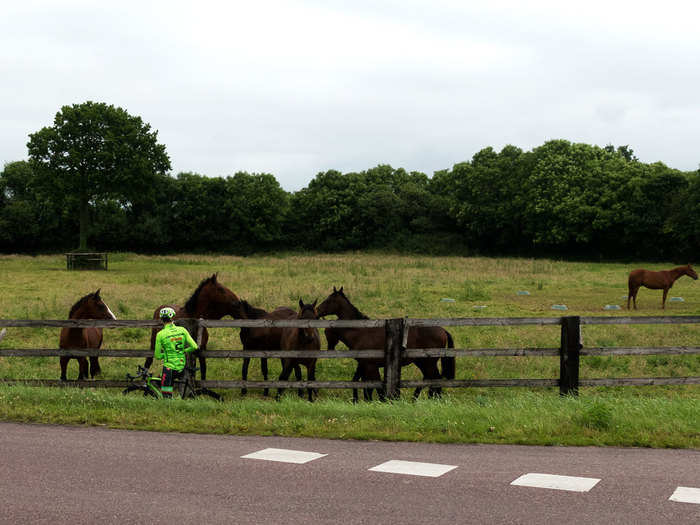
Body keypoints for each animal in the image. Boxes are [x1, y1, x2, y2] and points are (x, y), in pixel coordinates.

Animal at [316, 286, 456, 402]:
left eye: (328, 300)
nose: (317, 311)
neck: (361, 331)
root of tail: (442, 330)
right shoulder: (363, 365)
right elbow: (360, 383)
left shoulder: (371, 366)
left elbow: (375, 386)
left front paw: (381, 401)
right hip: (422, 362)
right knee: (429, 379)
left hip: (428, 363)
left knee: (435, 379)